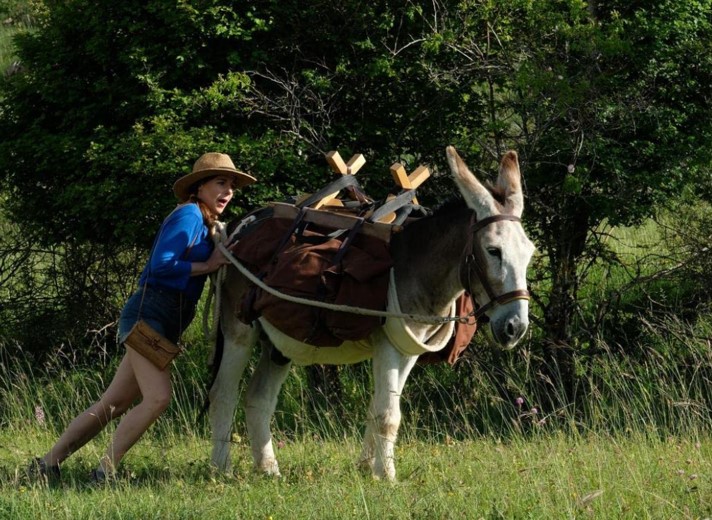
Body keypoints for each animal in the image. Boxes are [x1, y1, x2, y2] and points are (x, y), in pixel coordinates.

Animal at [207, 146, 535, 480]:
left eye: (530, 253)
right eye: (493, 250)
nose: (516, 327)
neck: (413, 267)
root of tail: (236, 228)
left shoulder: (408, 351)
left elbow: (378, 408)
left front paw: (369, 468)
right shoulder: (387, 346)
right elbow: (388, 415)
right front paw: (387, 476)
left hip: (279, 344)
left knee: (258, 398)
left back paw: (268, 468)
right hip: (239, 332)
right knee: (223, 394)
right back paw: (221, 468)